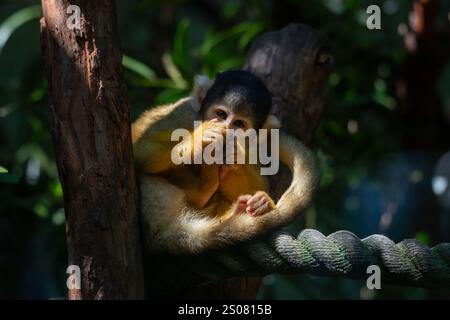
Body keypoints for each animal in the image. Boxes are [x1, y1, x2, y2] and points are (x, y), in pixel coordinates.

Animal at [132, 70, 318, 255]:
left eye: (238, 123)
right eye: (221, 114)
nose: (227, 130)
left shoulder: (250, 145)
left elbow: (259, 183)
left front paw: (233, 159)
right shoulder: (183, 115)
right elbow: (141, 149)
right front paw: (197, 141)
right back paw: (202, 193)